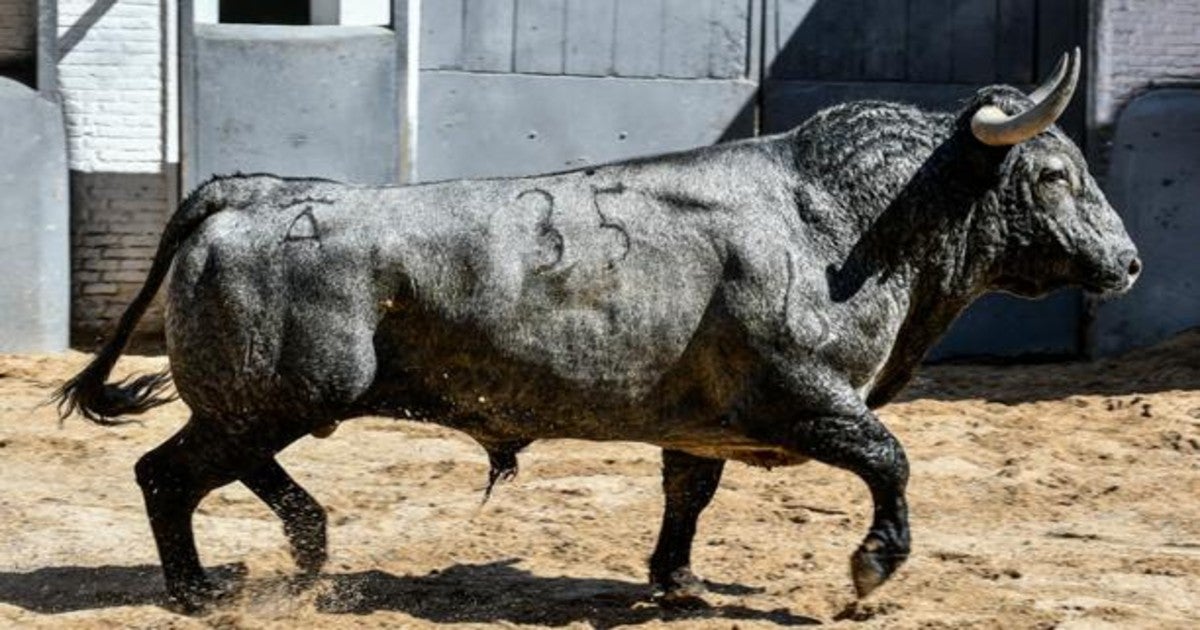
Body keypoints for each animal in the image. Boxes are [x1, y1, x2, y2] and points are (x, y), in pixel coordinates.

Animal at [56, 49, 1142, 609]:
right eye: (1054, 175)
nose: (1129, 263)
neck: (841, 218)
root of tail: (251, 189)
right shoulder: (804, 398)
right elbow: (890, 458)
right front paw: (872, 569)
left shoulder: (702, 425)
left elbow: (688, 496)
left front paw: (679, 583)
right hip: (278, 394)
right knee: (169, 474)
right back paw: (200, 591)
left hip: (277, 400)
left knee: (231, 467)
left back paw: (311, 549)